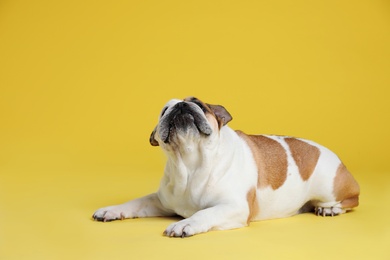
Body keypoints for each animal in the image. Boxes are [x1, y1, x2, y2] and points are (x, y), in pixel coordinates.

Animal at [93, 96, 362, 237]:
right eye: (164, 110)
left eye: (200, 104)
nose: (181, 105)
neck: (190, 162)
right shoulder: (159, 200)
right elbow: (135, 202)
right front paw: (112, 210)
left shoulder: (234, 207)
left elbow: (205, 213)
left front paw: (184, 224)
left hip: (331, 185)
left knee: (352, 200)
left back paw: (330, 209)